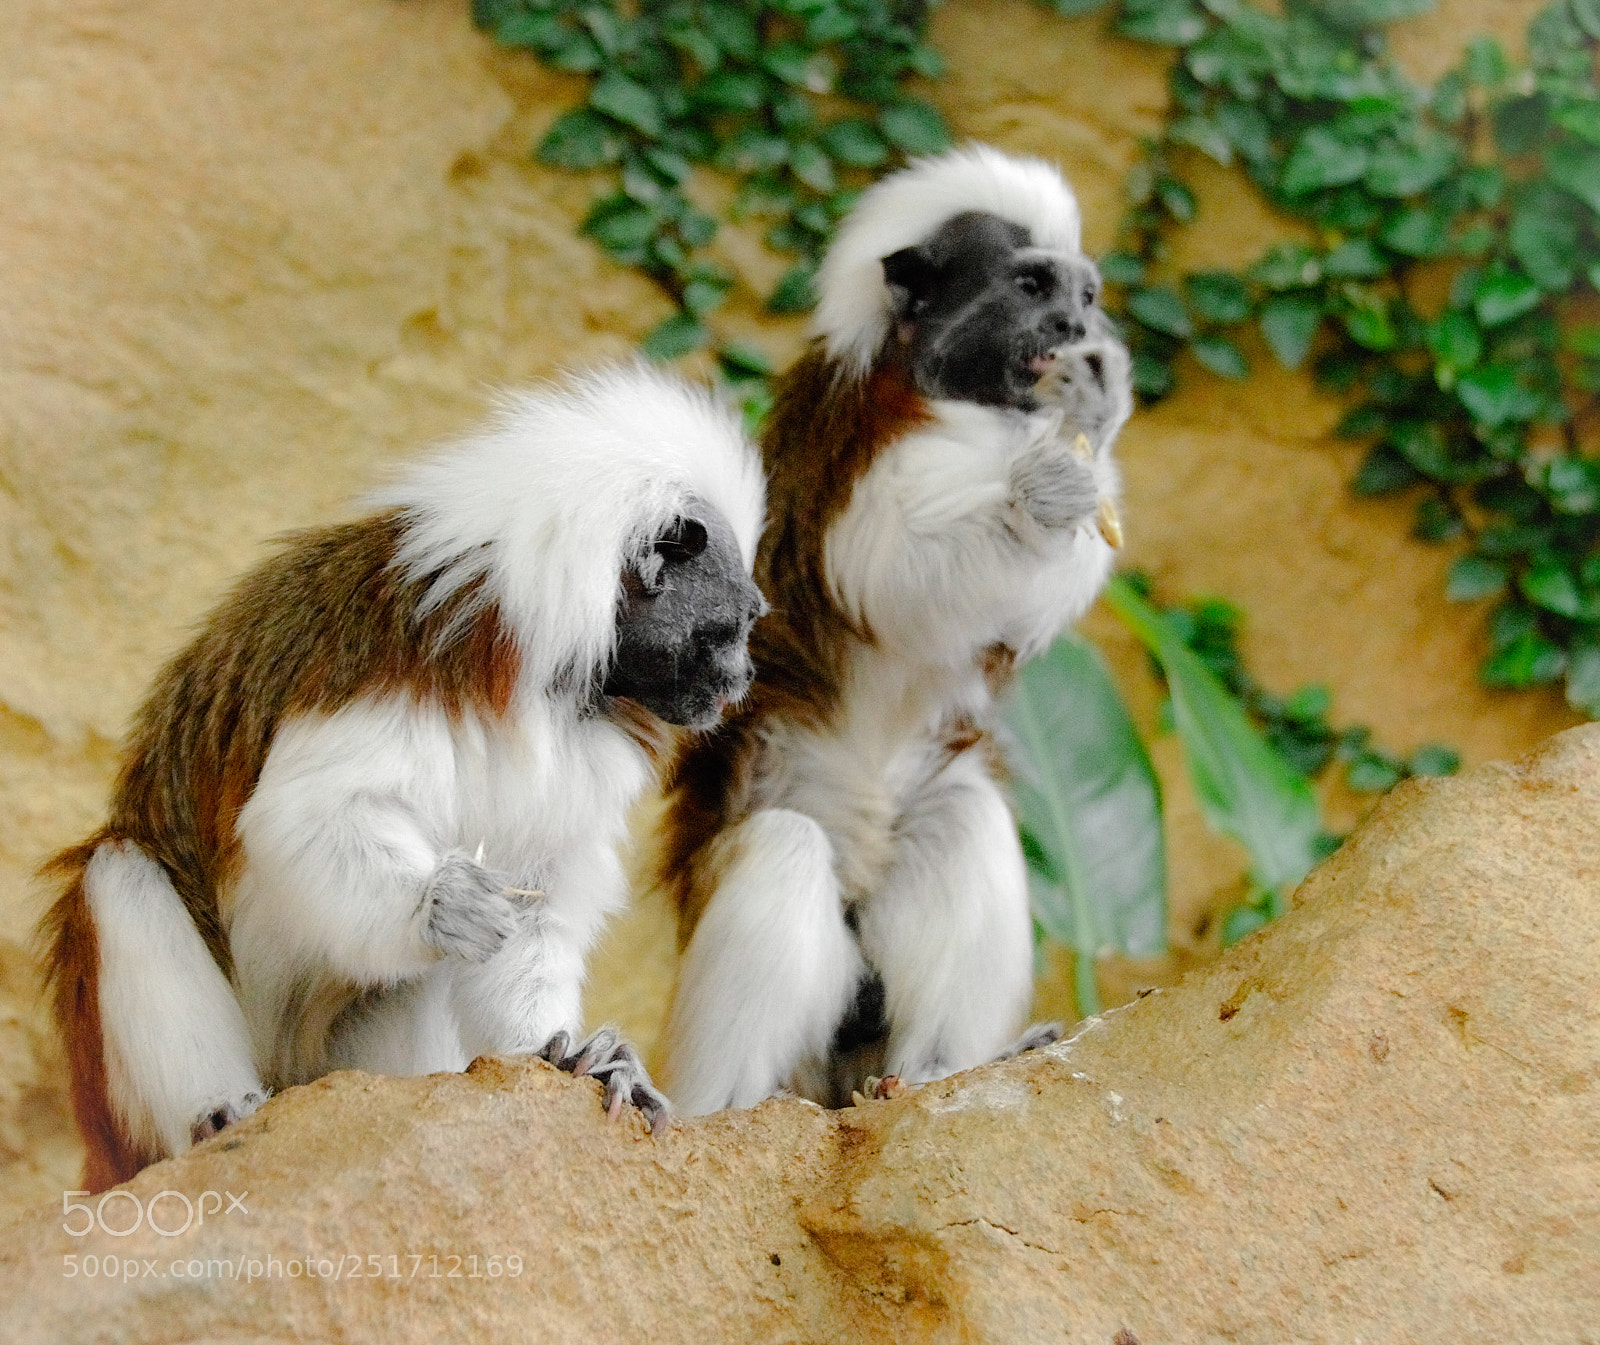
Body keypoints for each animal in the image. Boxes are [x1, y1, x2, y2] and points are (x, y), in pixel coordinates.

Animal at [37, 363, 767, 1191]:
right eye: (733, 627)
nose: (742, 678)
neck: (550, 669)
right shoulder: (408, 662)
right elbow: (312, 812)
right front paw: (440, 904)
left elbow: (535, 898)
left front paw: (570, 1053)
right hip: (125, 1114)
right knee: (121, 873)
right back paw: (216, 1118)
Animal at [654, 145, 1133, 1114]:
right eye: (1031, 286)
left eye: (1085, 295)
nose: (1071, 321)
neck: (972, 407)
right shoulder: (867, 438)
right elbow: (895, 575)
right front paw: (1045, 490)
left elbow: (1019, 609)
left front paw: (1090, 430)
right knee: (781, 854)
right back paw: (727, 1108)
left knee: (963, 818)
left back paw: (935, 1072)